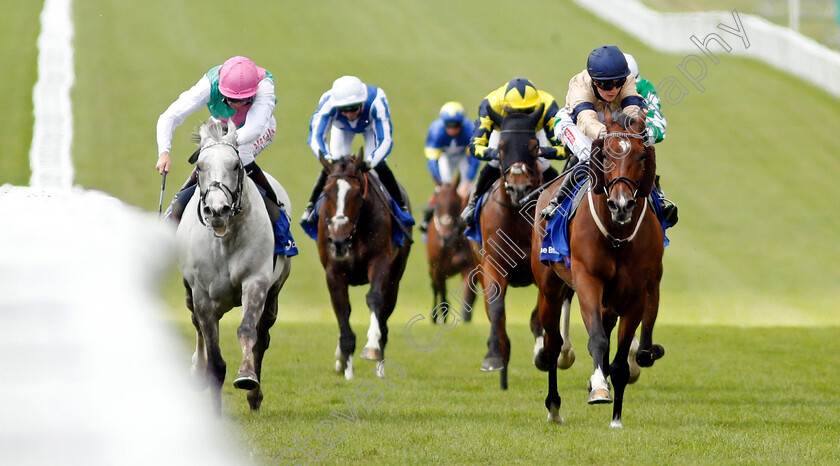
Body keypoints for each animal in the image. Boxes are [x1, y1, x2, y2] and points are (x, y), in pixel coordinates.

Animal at [316, 151, 412, 380]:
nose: (339, 241)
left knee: (385, 313)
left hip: (396, 276)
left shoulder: (380, 261)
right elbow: (343, 309)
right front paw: (347, 368)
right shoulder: (334, 271)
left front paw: (372, 347)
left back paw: (380, 365)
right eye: (326, 192)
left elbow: (375, 298)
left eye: (358, 194)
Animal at [424, 175, 476, 324]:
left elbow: (468, 293)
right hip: (431, 269)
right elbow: (441, 292)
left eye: (457, 203)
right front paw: (443, 314)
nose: (446, 236)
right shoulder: (438, 269)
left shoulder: (469, 266)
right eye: (437, 204)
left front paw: (466, 317)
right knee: (435, 288)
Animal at [476, 104, 556, 390]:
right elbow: (497, 308)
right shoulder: (492, 264)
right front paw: (493, 356)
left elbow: (538, 315)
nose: (519, 187)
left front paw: (543, 353)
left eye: (534, 146)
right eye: (501, 147)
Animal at [532, 112, 664, 426]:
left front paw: (616, 417)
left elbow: (620, 359)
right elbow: (597, 340)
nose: (621, 204)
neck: (616, 236)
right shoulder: (588, 281)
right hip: (549, 288)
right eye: (605, 154)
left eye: (642, 156)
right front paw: (600, 389)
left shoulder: (635, 294)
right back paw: (554, 407)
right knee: (553, 344)